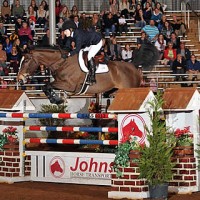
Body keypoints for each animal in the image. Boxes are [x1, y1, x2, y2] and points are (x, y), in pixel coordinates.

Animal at [17, 43, 158, 103]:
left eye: (26, 61)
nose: (19, 79)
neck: (62, 62)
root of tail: (134, 66)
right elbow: (46, 86)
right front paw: (56, 99)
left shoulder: (69, 85)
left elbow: (47, 85)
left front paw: (56, 99)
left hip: (131, 88)